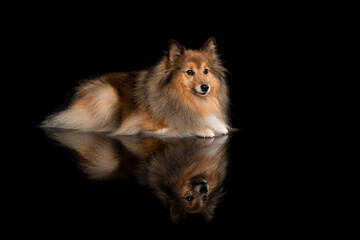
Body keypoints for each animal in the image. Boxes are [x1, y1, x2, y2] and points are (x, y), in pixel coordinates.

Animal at [41, 38, 228, 138]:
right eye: (189, 72)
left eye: (206, 71)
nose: (205, 87)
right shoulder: (143, 123)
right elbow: (180, 125)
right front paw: (203, 128)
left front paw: (218, 126)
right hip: (107, 95)